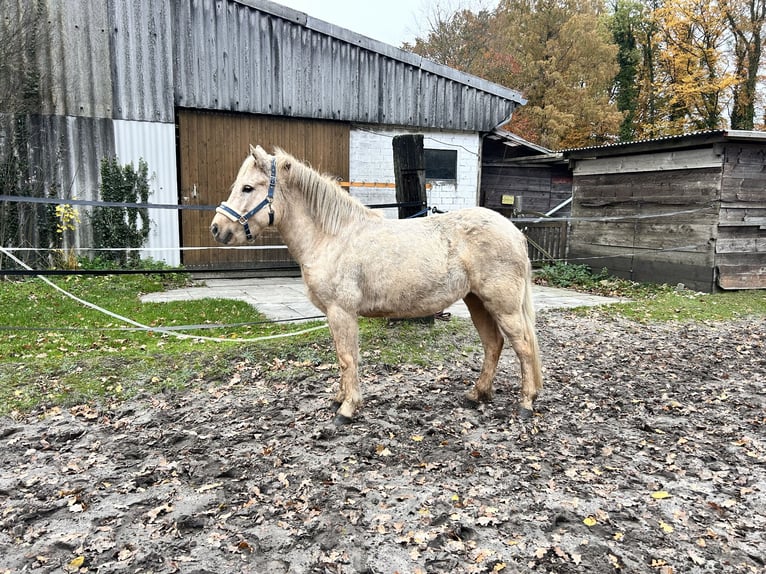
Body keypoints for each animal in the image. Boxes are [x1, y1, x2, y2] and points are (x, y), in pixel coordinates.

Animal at [210, 145, 543, 425]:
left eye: (248, 187)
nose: (217, 228)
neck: (333, 236)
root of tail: (514, 231)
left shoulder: (341, 311)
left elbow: (347, 358)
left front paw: (346, 410)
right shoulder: (334, 315)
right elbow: (342, 357)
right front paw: (339, 399)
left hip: (504, 306)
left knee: (523, 347)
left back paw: (526, 403)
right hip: (477, 301)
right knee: (493, 344)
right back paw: (476, 394)